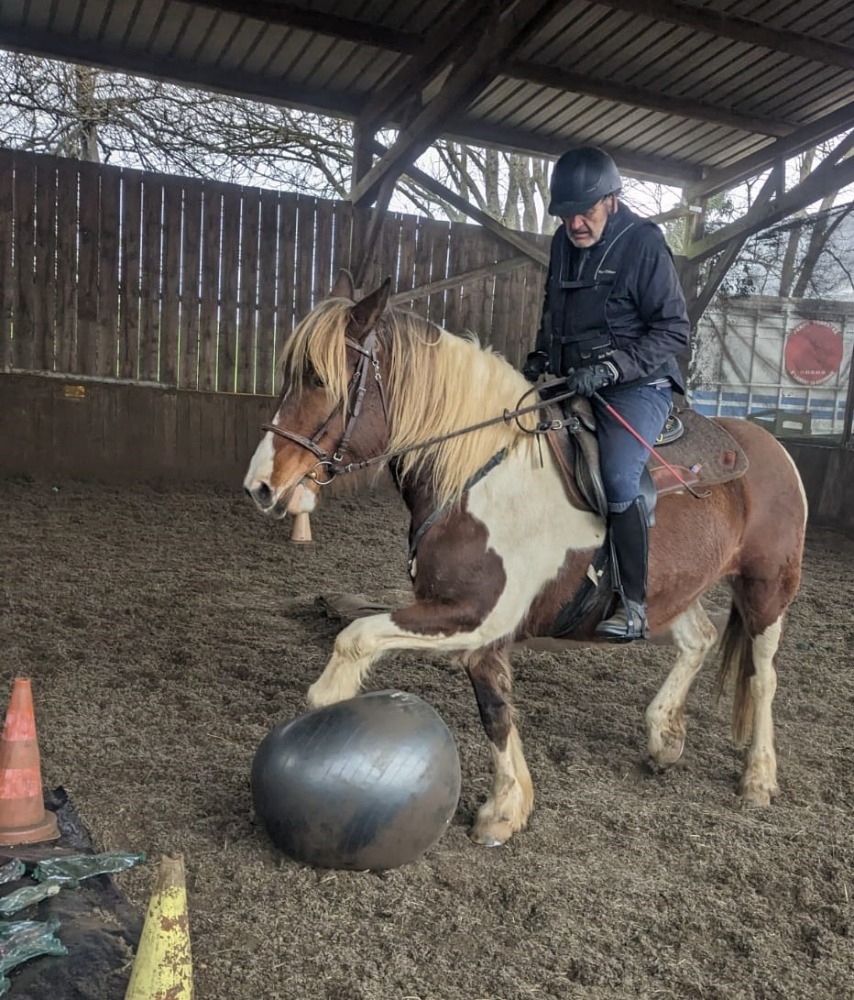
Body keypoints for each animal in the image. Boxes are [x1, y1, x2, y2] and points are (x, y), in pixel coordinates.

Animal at [242, 270, 808, 848]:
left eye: (317, 378)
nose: (260, 485)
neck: (478, 477)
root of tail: (769, 445)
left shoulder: (471, 615)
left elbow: (354, 637)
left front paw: (328, 699)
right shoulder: (480, 632)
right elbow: (495, 709)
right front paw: (507, 808)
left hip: (767, 587)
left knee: (763, 675)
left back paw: (758, 777)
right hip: (673, 588)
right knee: (699, 639)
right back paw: (663, 735)